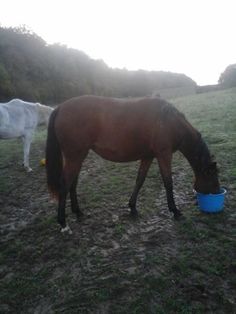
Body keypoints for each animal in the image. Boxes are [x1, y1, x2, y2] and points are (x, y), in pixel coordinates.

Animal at [45, 97, 219, 232]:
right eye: (212, 176)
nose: (217, 192)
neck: (168, 121)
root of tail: (60, 107)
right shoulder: (164, 154)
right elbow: (168, 182)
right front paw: (175, 211)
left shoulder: (148, 156)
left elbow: (140, 180)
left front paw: (132, 207)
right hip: (75, 157)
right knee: (65, 185)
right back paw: (63, 223)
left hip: (78, 157)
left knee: (72, 184)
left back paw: (78, 212)